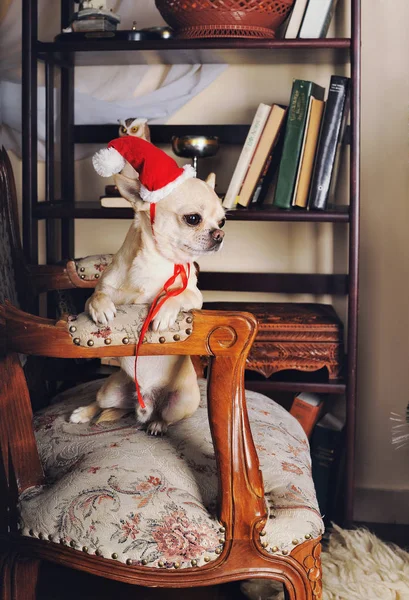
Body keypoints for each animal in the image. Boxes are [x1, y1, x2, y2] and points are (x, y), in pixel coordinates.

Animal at [69, 171, 223, 434]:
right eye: (193, 219)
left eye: (221, 222)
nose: (220, 234)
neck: (155, 261)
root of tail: (143, 407)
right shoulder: (103, 287)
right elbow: (96, 296)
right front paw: (102, 309)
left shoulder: (194, 296)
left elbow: (175, 294)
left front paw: (162, 312)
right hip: (109, 391)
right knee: (101, 403)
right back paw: (82, 413)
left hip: (181, 402)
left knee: (167, 416)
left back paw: (157, 424)